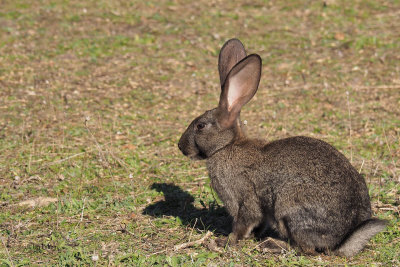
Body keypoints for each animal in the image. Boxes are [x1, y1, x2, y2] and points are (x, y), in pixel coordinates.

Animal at [179, 39, 388, 258]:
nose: (181, 146)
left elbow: (244, 222)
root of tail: (341, 240)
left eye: (200, 126)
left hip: (288, 206)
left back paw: (272, 245)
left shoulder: (245, 198)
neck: (226, 146)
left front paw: (226, 241)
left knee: (306, 248)